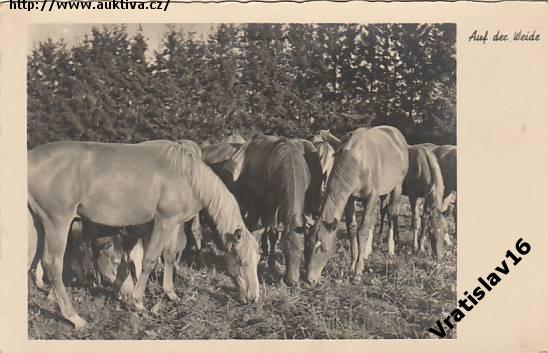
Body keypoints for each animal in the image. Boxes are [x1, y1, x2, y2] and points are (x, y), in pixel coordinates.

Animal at [27, 140, 262, 328]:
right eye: (242, 261)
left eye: (257, 260)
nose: (254, 297)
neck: (188, 175)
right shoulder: (163, 222)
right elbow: (149, 261)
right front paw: (138, 302)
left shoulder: (173, 223)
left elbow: (168, 256)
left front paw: (170, 293)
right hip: (57, 223)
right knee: (52, 264)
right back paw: (74, 317)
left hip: (37, 224)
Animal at [306, 125, 408, 284]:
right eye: (308, 246)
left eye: (324, 249)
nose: (310, 280)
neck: (357, 161)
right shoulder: (350, 197)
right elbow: (352, 229)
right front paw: (352, 266)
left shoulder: (372, 196)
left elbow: (363, 230)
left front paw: (358, 272)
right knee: (374, 218)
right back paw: (366, 252)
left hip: (397, 187)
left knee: (391, 213)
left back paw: (390, 248)